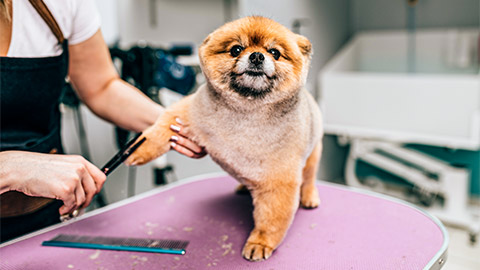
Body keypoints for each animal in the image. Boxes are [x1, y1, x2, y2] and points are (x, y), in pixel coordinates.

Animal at [126, 16, 322, 262]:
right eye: (236, 49)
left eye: (274, 52)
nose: (257, 56)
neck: (246, 111)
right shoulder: (187, 113)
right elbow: (157, 132)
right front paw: (136, 150)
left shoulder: (279, 181)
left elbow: (271, 220)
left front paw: (260, 242)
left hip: (313, 152)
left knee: (309, 177)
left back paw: (309, 197)